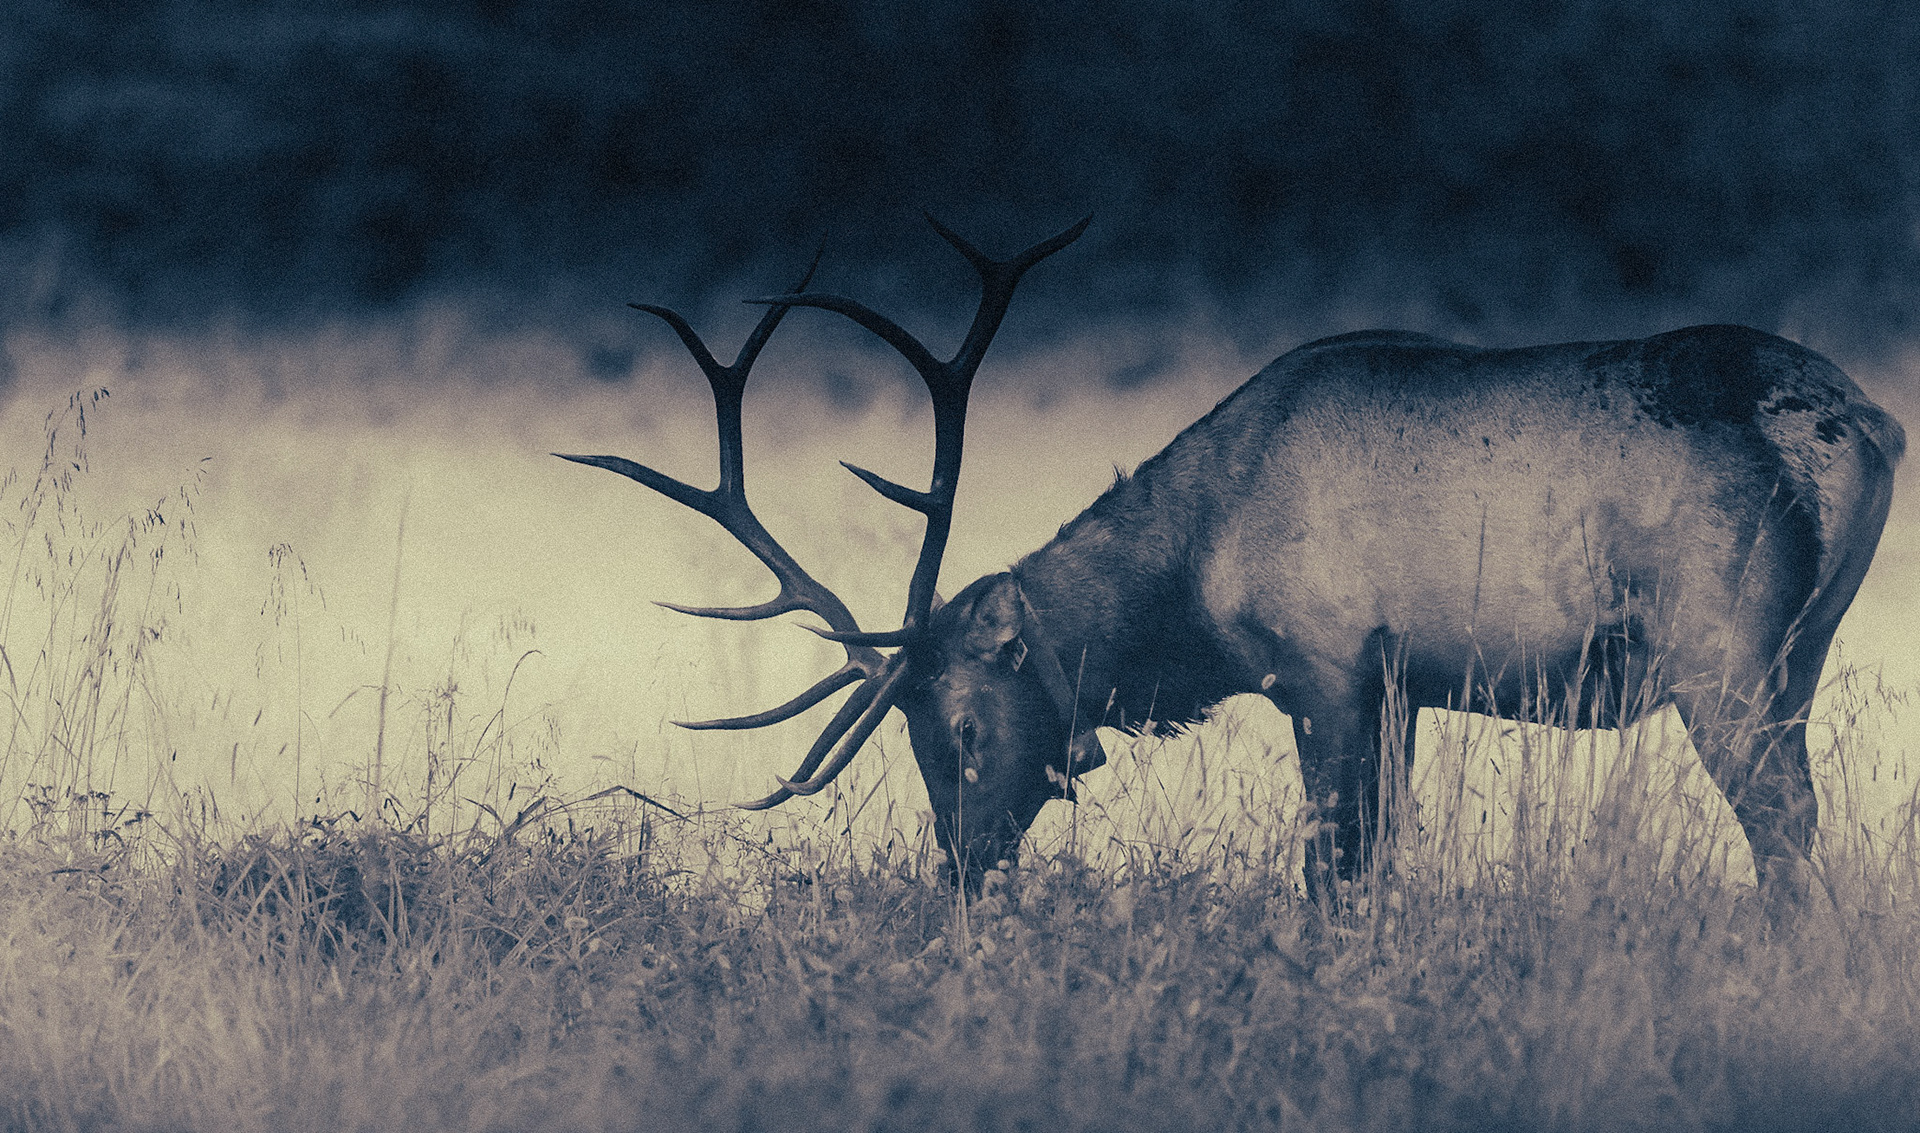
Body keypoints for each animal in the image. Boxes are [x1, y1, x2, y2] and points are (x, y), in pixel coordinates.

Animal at [559, 217, 1903, 900]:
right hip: (1795, 659)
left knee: (1788, 832)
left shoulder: (1327, 667)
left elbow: (1331, 868)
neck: (1193, 590)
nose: (961, 870)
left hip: (1722, 654)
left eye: (962, 724)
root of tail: (1859, 424)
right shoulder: (1402, 687)